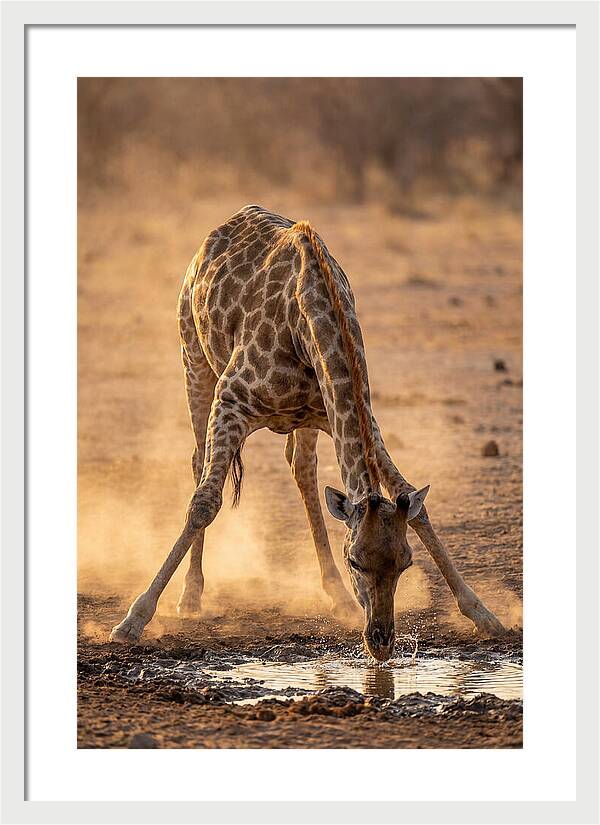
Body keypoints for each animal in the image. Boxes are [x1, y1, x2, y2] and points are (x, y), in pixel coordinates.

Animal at [110, 205, 506, 659]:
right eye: (356, 560)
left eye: (405, 562)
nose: (381, 642)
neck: (310, 319)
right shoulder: (231, 400)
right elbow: (204, 503)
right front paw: (134, 619)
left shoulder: (351, 414)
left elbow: (414, 504)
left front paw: (483, 614)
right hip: (193, 359)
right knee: (198, 464)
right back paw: (191, 596)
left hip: (304, 420)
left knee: (303, 470)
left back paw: (337, 596)